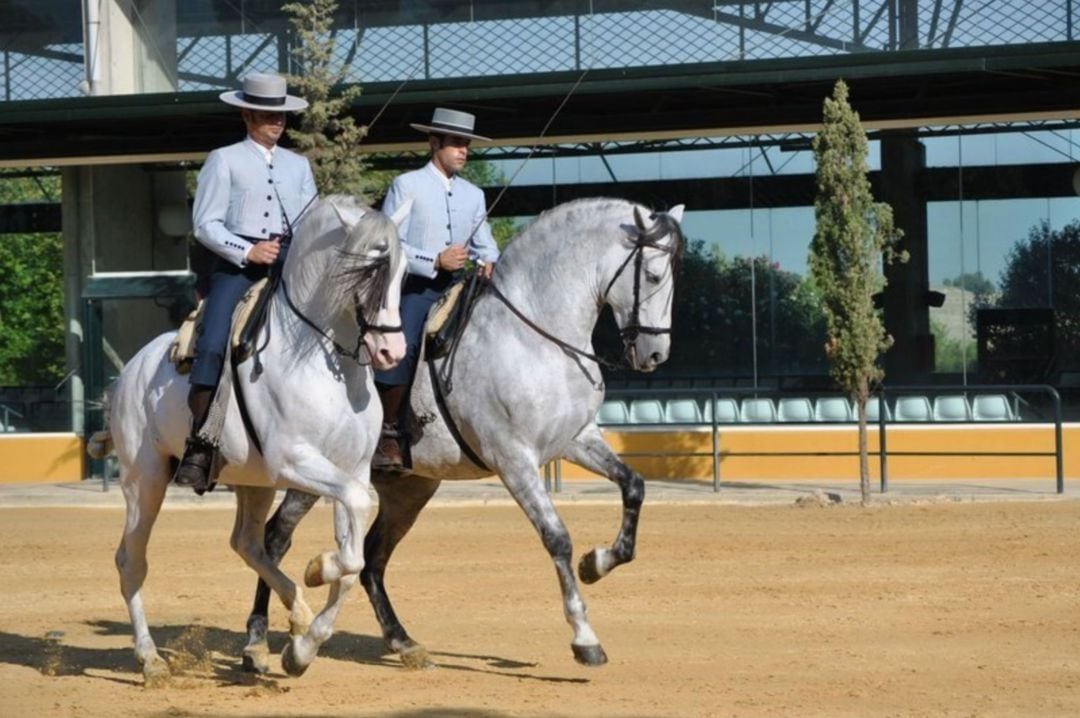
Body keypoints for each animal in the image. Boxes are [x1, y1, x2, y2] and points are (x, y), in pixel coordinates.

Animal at [93, 196, 408, 682]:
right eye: (365, 271)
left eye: (404, 270)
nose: (393, 352)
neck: (324, 361)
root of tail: (130, 371)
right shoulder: (296, 461)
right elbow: (352, 541)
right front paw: (318, 569)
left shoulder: (349, 469)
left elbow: (352, 562)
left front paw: (303, 648)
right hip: (145, 480)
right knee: (131, 560)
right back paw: (150, 660)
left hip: (253, 483)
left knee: (247, 543)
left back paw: (296, 614)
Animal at [241, 194, 686, 665]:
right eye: (653, 275)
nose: (655, 354)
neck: (535, 336)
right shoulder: (514, 459)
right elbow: (557, 537)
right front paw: (584, 637)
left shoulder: (576, 439)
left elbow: (634, 485)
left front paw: (597, 562)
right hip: (316, 471)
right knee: (274, 539)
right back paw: (258, 640)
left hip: (409, 489)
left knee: (374, 557)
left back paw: (401, 640)